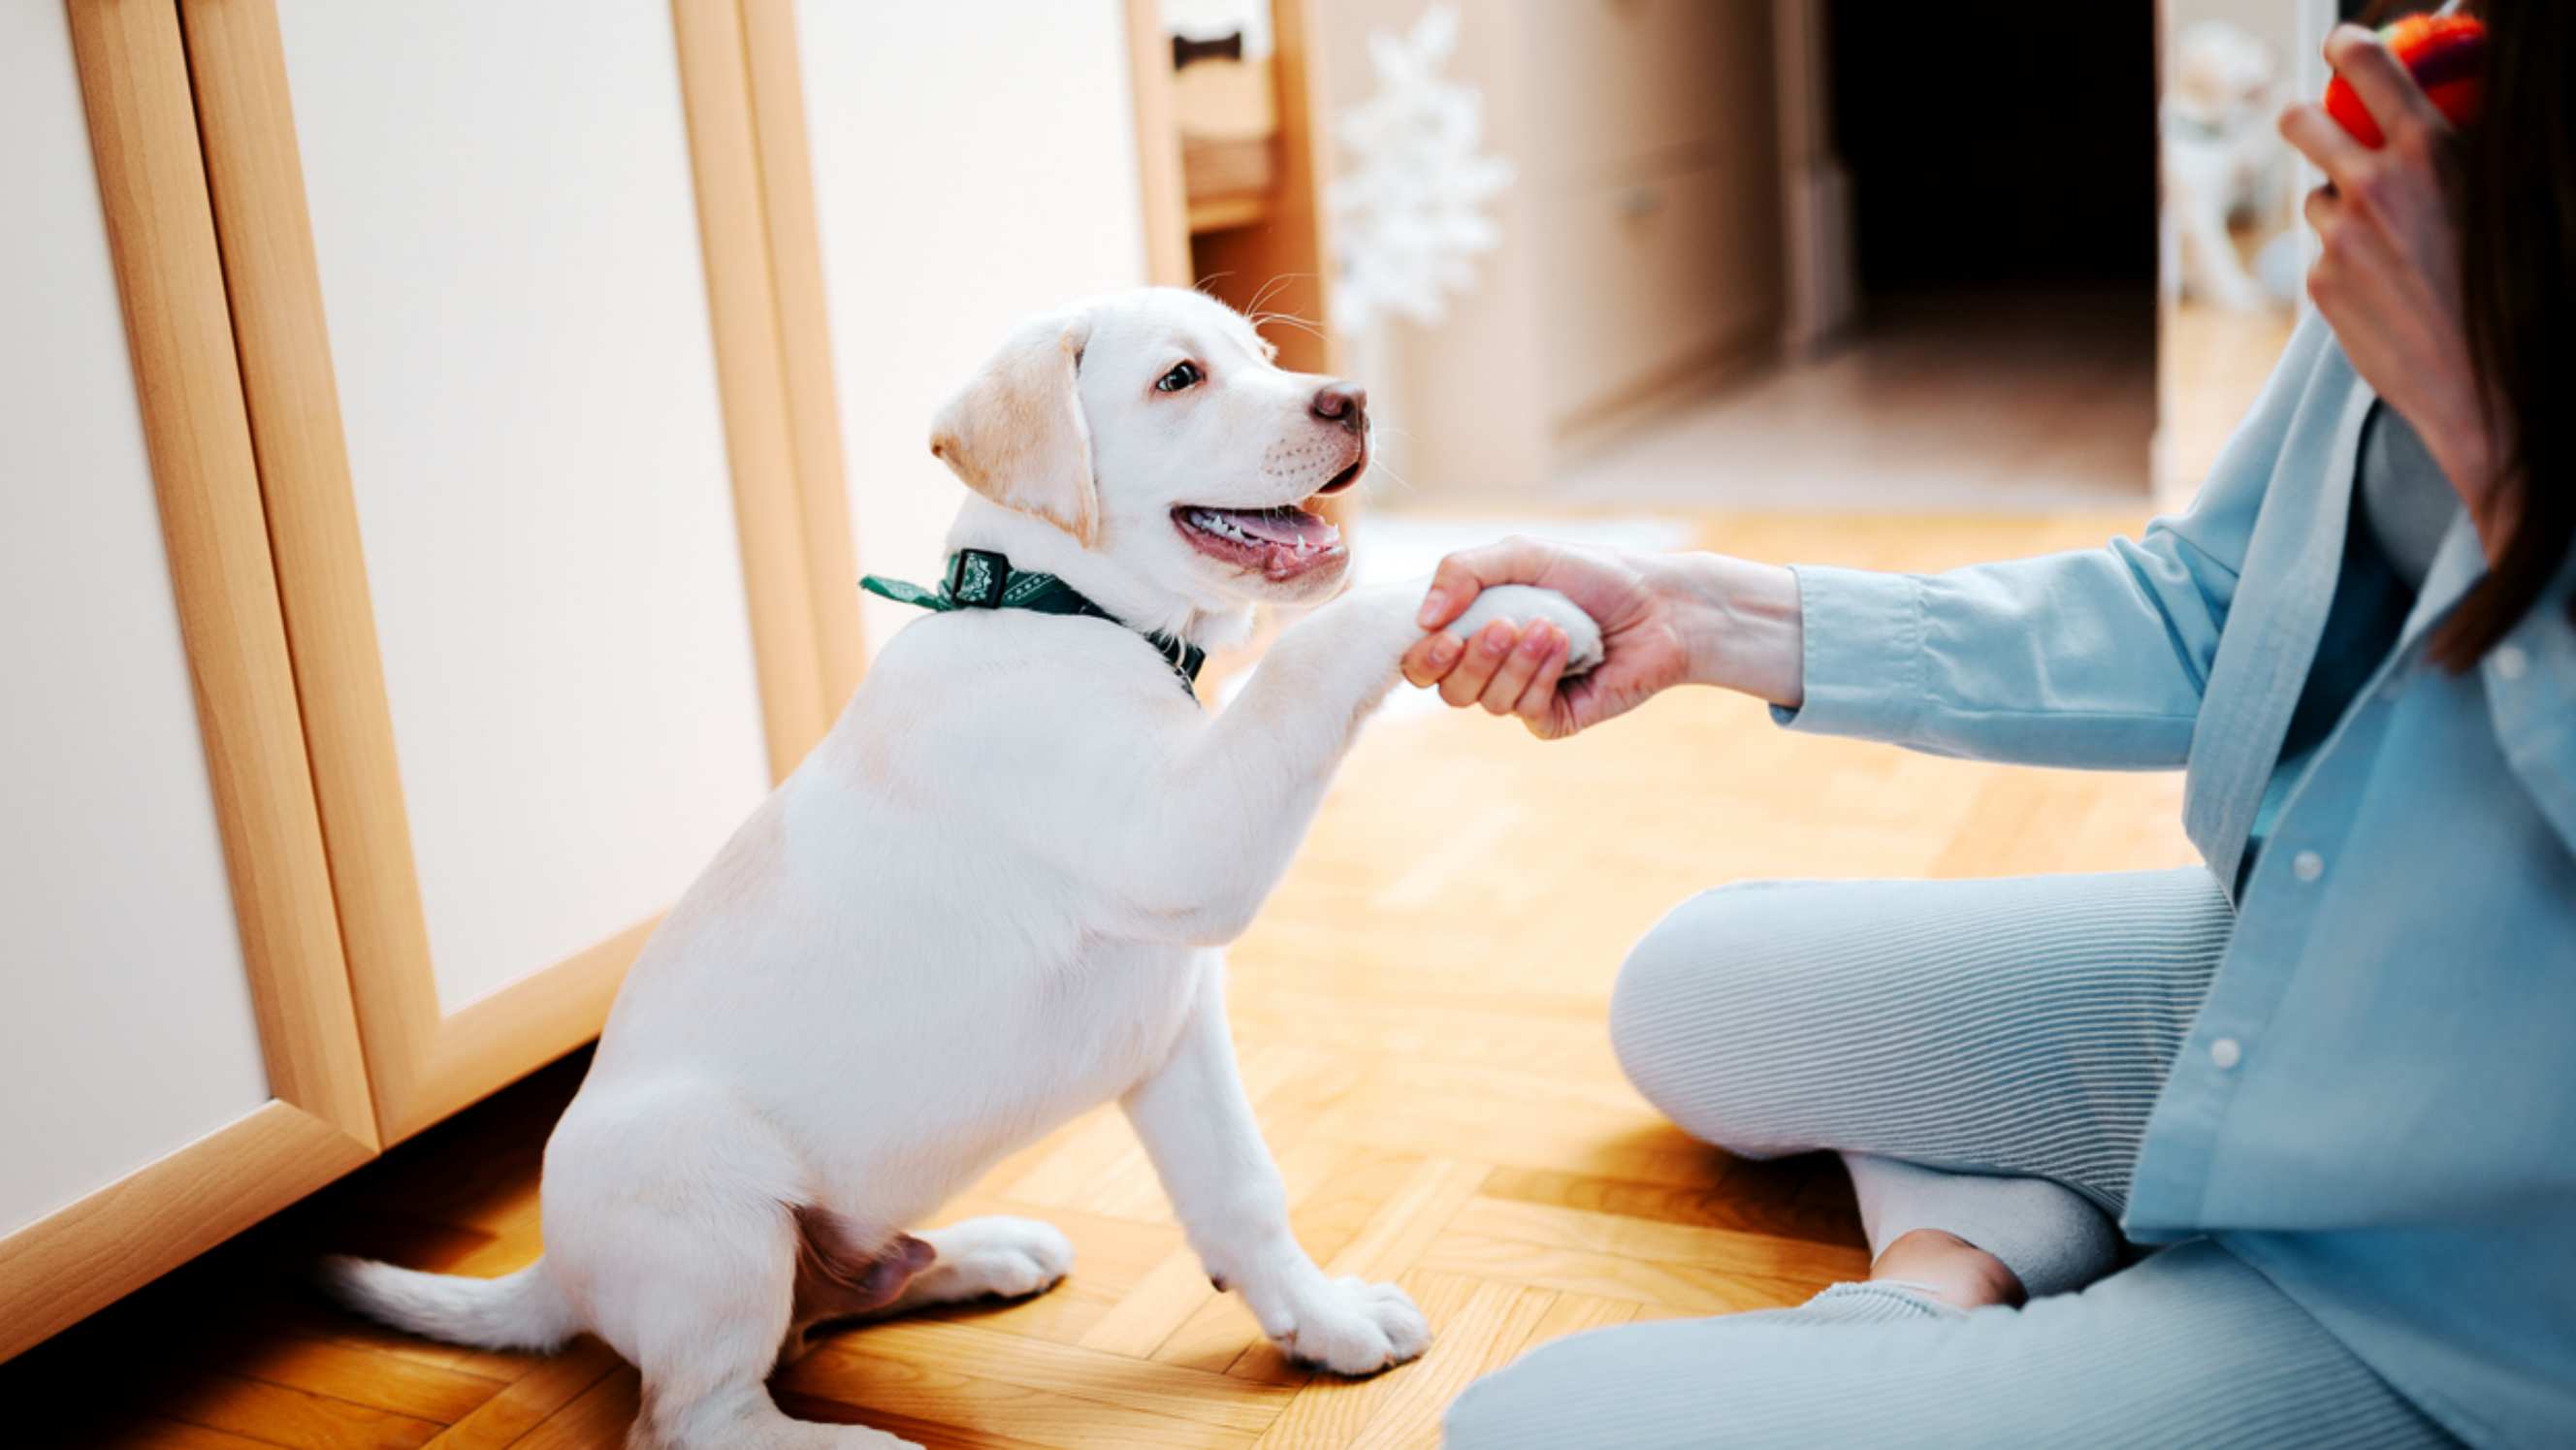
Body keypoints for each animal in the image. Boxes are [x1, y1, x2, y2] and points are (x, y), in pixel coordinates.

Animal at [322, 289, 1587, 1442]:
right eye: (1180, 378)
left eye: (1266, 357)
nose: (1351, 398)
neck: (1061, 612)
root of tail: (557, 1273)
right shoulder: (1184, 841)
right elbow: (1311, 650)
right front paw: (1495, 594)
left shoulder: (1174, 1019)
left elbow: (1242, 1188)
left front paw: (1320, 1322)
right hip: (706, 1194)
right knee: (695, 1415)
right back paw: (862, 1440)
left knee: (813, 1314)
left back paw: (979, 1252)